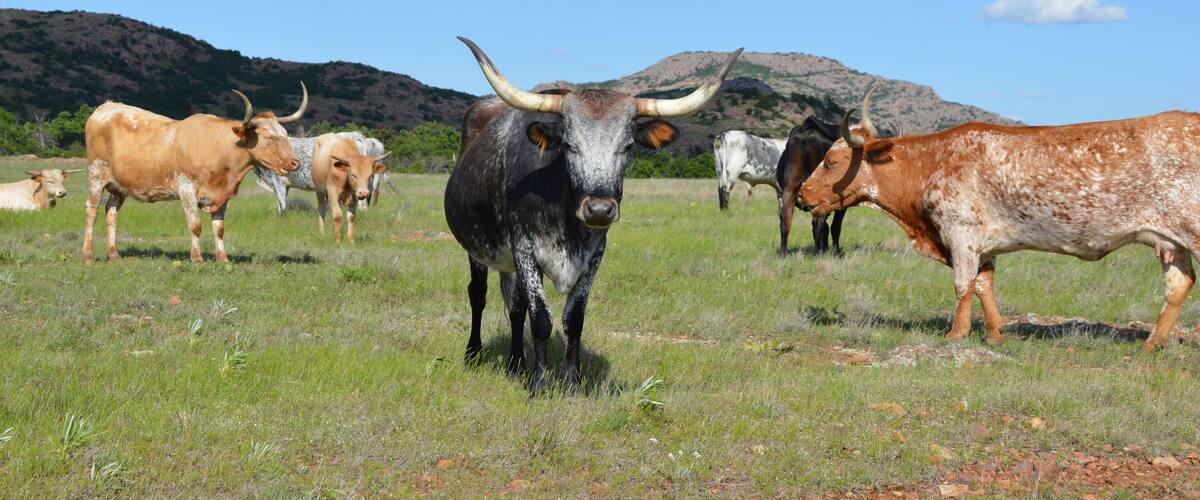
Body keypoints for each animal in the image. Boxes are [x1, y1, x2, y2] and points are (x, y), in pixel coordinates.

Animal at [82, 83, 308, 263]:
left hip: (118, 187)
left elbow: (219, 228)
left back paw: (114, 254)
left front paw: (223, 258)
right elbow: (195, 225)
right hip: (96, 175)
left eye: (285, 134)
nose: (295, 162)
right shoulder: (187, 190)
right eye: (270, 138)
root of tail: (106, 107)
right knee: (92, 211)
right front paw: (197, 258)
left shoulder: (222, 196)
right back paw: (88, 255)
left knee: (111, 213)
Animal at [445, 37, 742, 393]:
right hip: (477, 249)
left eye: (628, 146)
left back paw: (516, 364)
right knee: (478, 295)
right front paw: (540, 383)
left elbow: (573, 320)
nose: (599, 209)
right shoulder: (525, 248)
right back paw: (473, 354)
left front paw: (571, 383)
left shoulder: (593, 255)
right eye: (569, 145)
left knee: (515, 307)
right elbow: (540, 319)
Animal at [775, 117, 847, 255]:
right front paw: (836, 252)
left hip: (790, 186)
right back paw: (820, 253)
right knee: (818, 222)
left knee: (785, 219)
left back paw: (783, 254)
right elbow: (835, 226)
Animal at [799, 84, 1200, 351]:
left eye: (831, 161)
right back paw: (1151, 344)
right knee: (1179, 284)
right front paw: (994, 334)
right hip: (1172, 242)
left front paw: (956, 333)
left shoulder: (960, 235)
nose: (803, 194)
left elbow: (963, 285)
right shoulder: (983, 244)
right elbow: (983, 285)